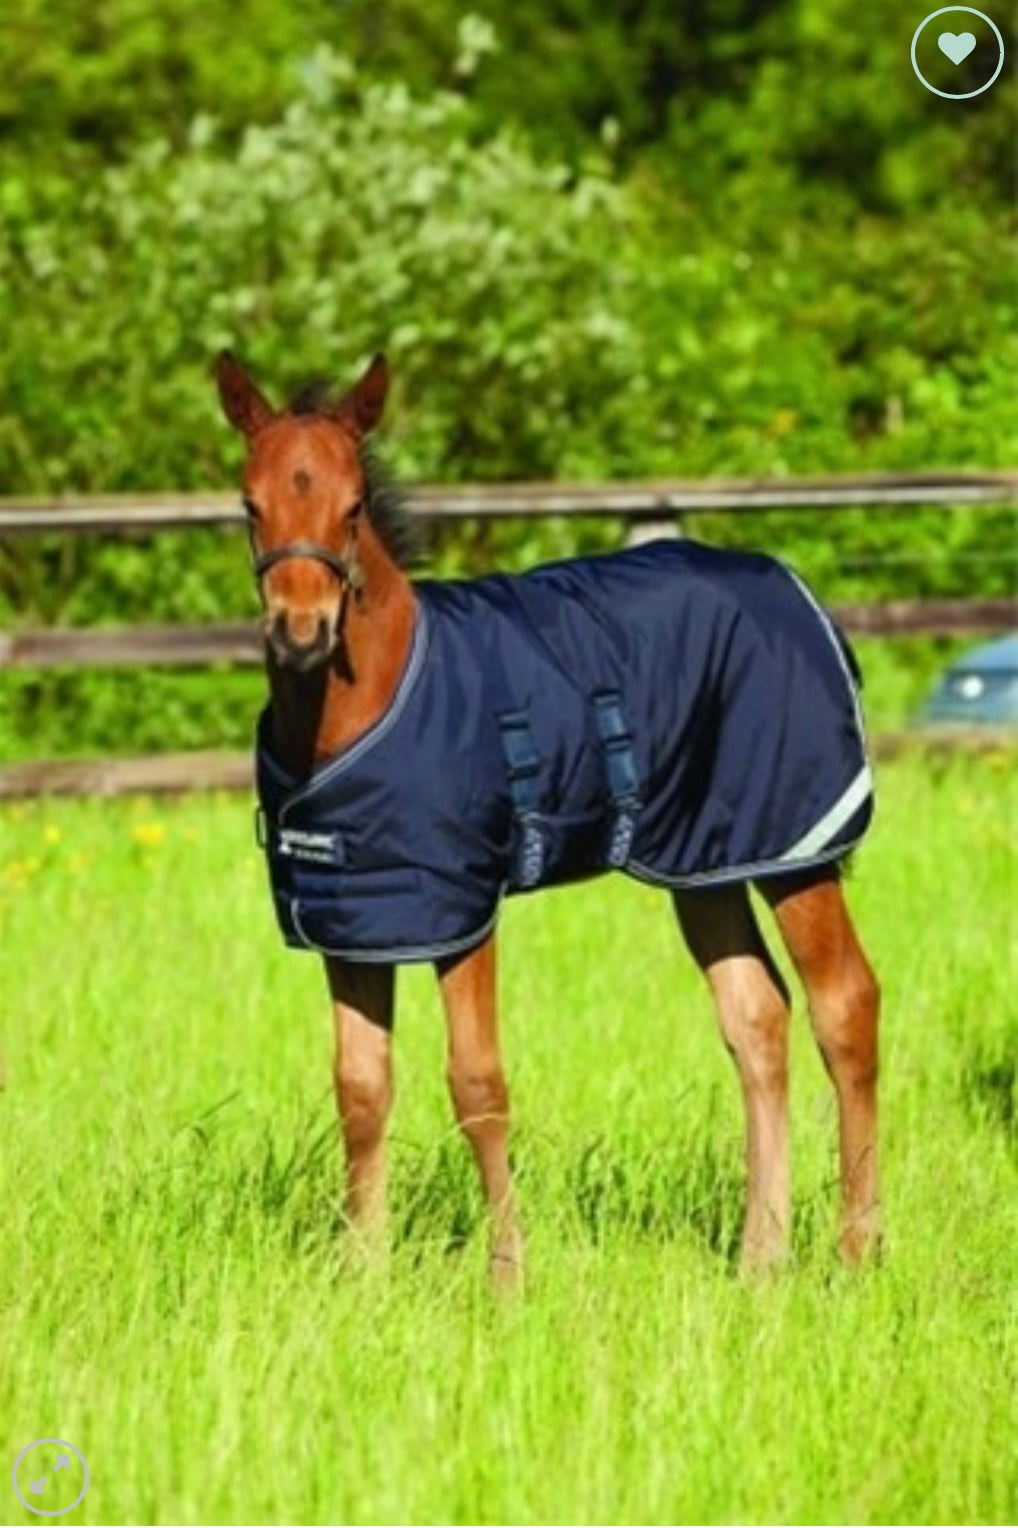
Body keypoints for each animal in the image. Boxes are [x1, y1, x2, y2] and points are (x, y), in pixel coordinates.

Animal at [214, 350, 882, 1288]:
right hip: (704, 862)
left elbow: (478, 1085)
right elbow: (361, 1087)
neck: (369, 700)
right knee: (757, 1017)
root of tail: (795, 588)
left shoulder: (460, 908)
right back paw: (761, 1260)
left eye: (352, 506)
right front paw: (361, 1276)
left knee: (845, 1005)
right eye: (250, 504)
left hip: (792, 849)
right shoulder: (357, 919)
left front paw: (506, 1278)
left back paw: (857, 1253)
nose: (301, 632)